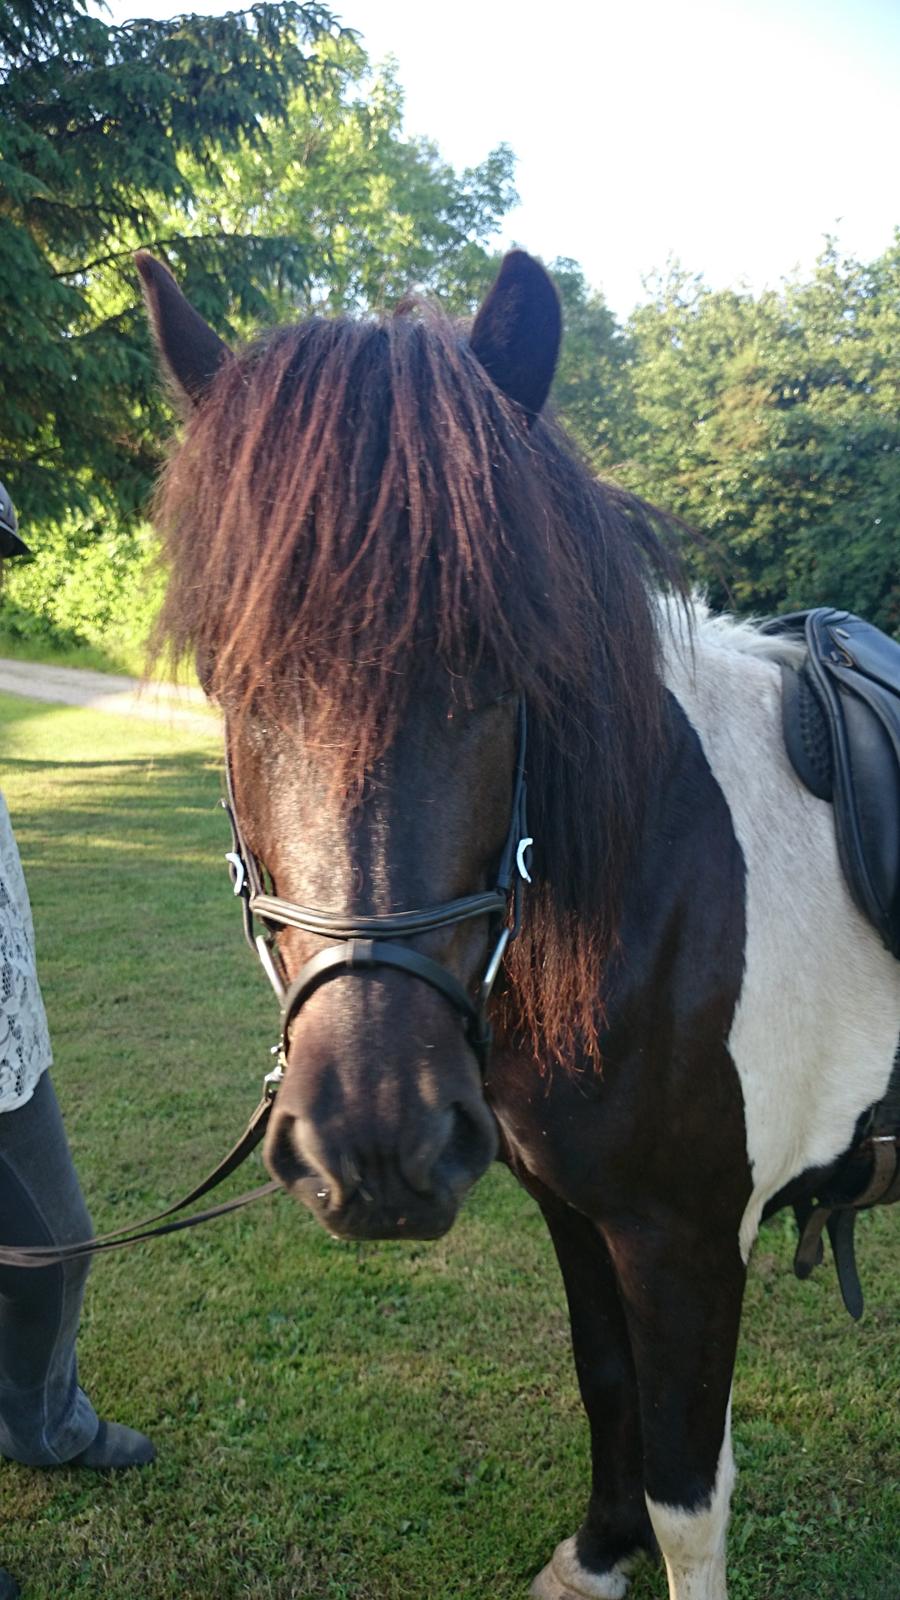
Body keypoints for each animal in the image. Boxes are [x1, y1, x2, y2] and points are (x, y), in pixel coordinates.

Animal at [134, 246, 896, 1600]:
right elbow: (608, 1392)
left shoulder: (690, 1243)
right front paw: (593, 1556)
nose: (375, 1145)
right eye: (231, 679)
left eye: (507, 676)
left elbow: (690, 1492)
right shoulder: (577, 1210)